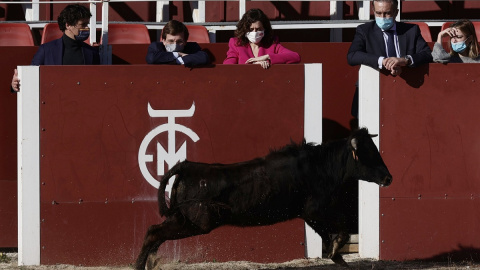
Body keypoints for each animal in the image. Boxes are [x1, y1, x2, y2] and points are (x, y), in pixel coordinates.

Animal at [134, 128, 390, 268]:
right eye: (368, 154)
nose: (389, 178)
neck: (321, 166)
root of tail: (187, 167)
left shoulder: (310, 215)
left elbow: (330, 234)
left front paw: (337, 257)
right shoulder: (316, 210)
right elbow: (342, 229)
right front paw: (337, 252)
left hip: (183, 219)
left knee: (155, 233)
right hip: (196, 223)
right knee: (153, 233)